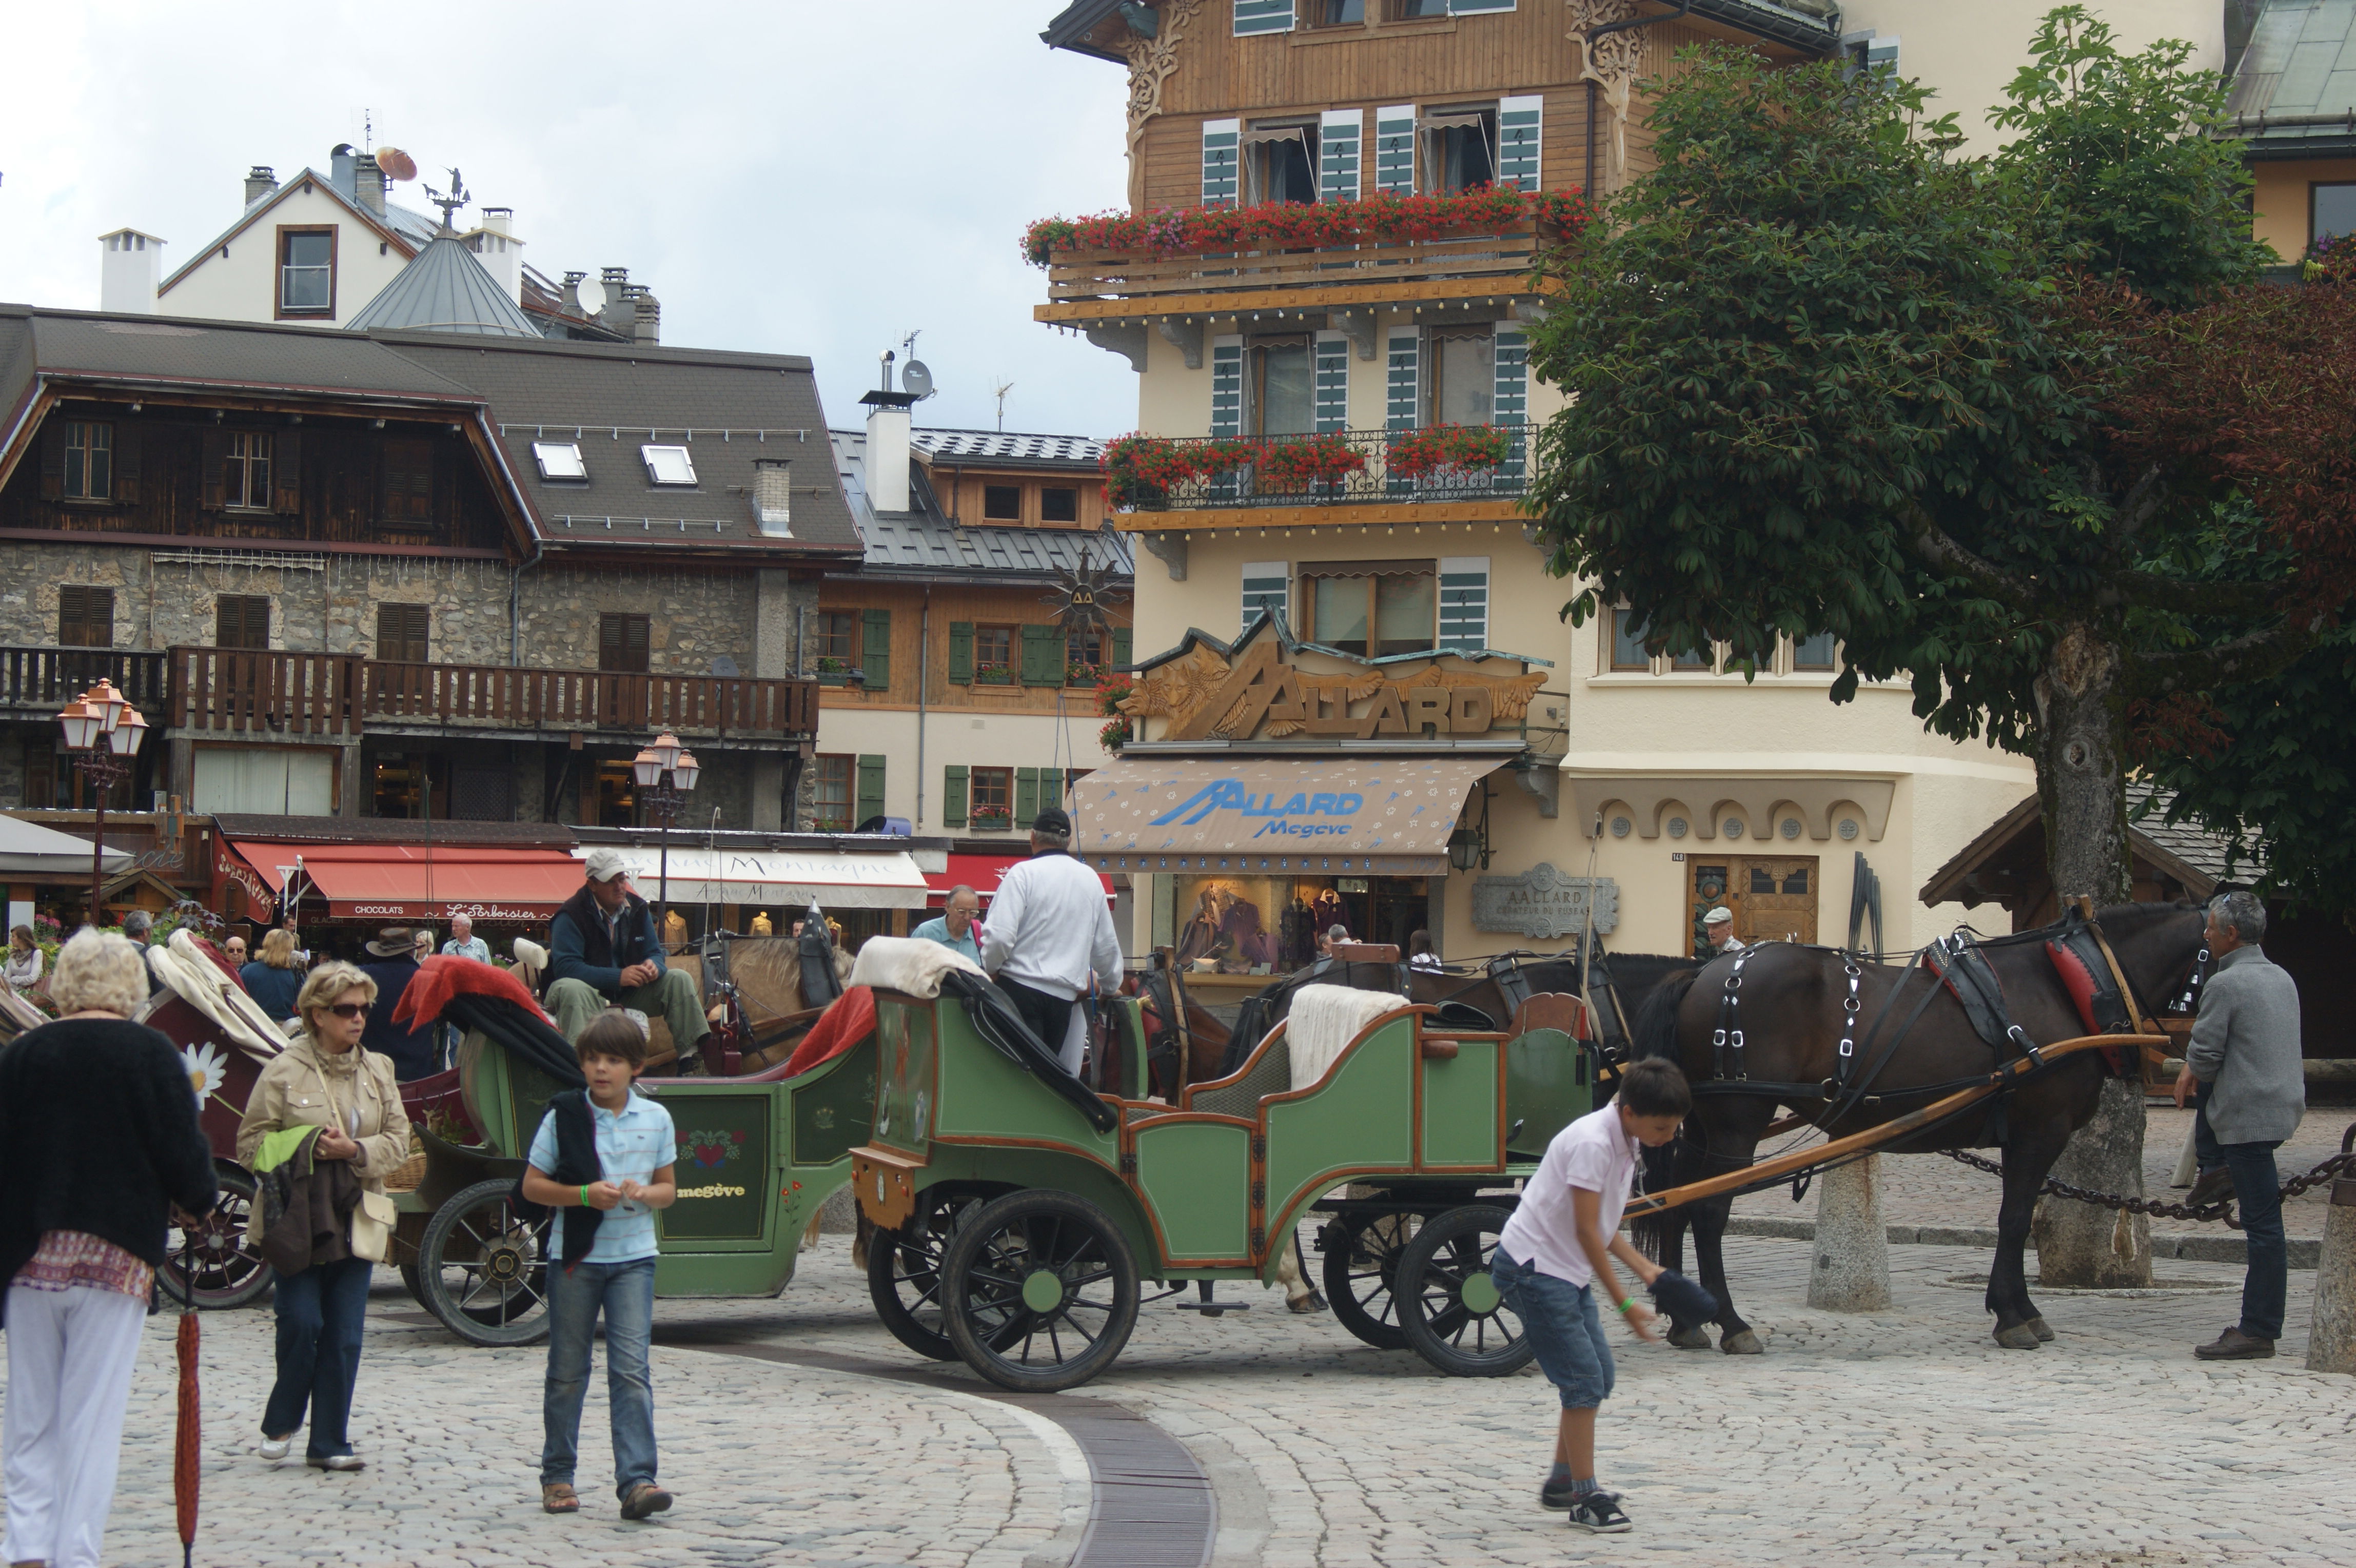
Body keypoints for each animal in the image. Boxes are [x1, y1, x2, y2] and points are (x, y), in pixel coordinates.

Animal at [1640, 899, 2205, 1346]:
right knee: (1708, 1212)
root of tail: (1703, 975)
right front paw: (2014, 1315)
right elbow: (2015, 1220)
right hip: (1737, 1123)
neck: (2070, 981)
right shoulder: (2039, 1130)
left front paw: (2018, 1308)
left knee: (1674, 1203)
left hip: (1701, 1126)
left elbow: (2016, 1219)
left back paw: (1684, 1320)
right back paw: (1732, 1323)